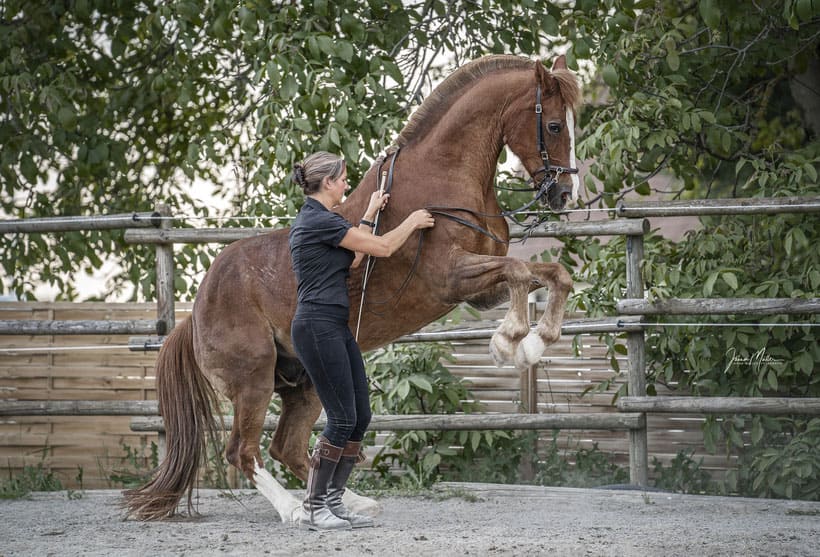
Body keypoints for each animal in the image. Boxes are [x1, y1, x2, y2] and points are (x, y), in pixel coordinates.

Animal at [123, 54, 584, 520]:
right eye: (554, 126)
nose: (566, 193)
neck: (442, 181)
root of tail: (194, 316)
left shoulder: (482, 291)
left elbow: (551, 274)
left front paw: (533, 342)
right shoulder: (452, 277)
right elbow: (519, 271)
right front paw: (509, 343)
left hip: (306, 385)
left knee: (288, 446)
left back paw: (351, 501)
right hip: (253, 381)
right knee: (244, 450)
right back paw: (293, 510)